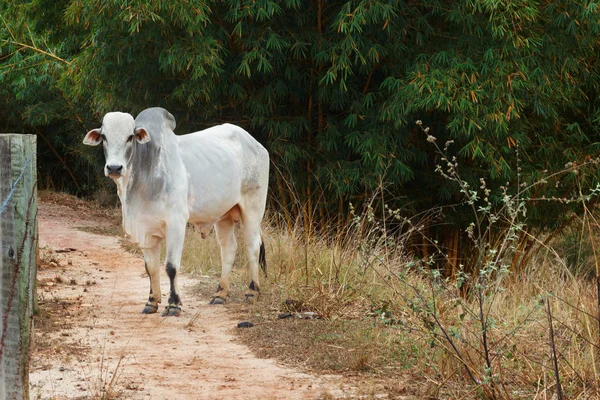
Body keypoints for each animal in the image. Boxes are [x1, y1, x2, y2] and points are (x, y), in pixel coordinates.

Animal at [82, 108, 270, 318]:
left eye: (130, 137)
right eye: (104, 137)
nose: (114, 167)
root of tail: (255, 144)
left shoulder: (176, 224)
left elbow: (171, 267)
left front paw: (173, 304)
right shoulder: (145, 229)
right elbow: (151, 267)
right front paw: (152, 302)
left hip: (253, 208)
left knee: (253, 247)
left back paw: (252, 292)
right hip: (224, 216)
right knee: (228, 248)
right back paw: (220, 294)